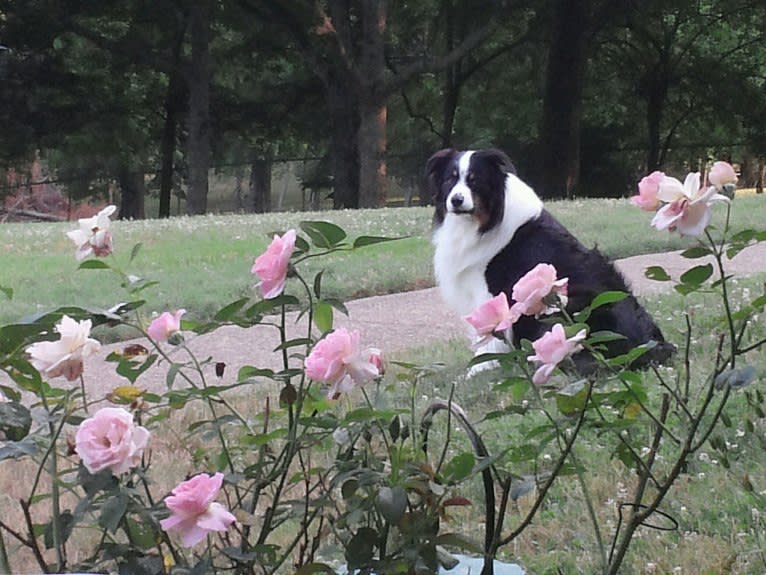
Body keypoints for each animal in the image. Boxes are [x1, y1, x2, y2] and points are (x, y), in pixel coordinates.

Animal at [428, 148, 676, 374]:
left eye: (474, 180)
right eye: (450, 179)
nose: (456, 200)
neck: (483, 222)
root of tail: (649, 346)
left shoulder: (489, 290)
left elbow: (491, 331)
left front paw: (480, 366)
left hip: (564, 304)